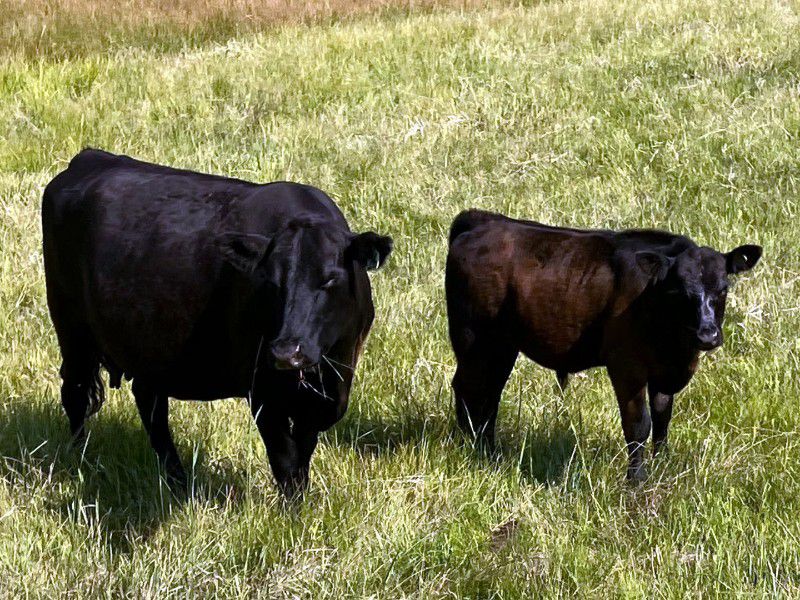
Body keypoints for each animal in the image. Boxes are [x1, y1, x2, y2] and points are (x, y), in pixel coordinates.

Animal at [42, 148, 392, 496]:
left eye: (330, 280)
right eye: (271, 282)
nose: (286, 352)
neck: (327, 368)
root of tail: (91, 158)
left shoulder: (329, 389)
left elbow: (303, 453)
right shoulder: (262, 390)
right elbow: (285, 460)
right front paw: (293, 508)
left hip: (148, 348)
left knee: (150, 406)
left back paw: (178, 482)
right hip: (71, 326)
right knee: (76, 394)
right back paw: (81, 461)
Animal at [445, 209, 761, 480]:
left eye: (723, 289)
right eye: (678, 291)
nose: (707, 336)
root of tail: (483, 221)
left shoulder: (664, 370)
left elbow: (662, 419)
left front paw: (662, 464)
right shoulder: (627, 366)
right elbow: (638, 425)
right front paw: (636, 480)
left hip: (501, 346)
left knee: (490, 393)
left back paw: (489, 451)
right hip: (473, 338)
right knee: (468, 388)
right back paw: (470, 448)